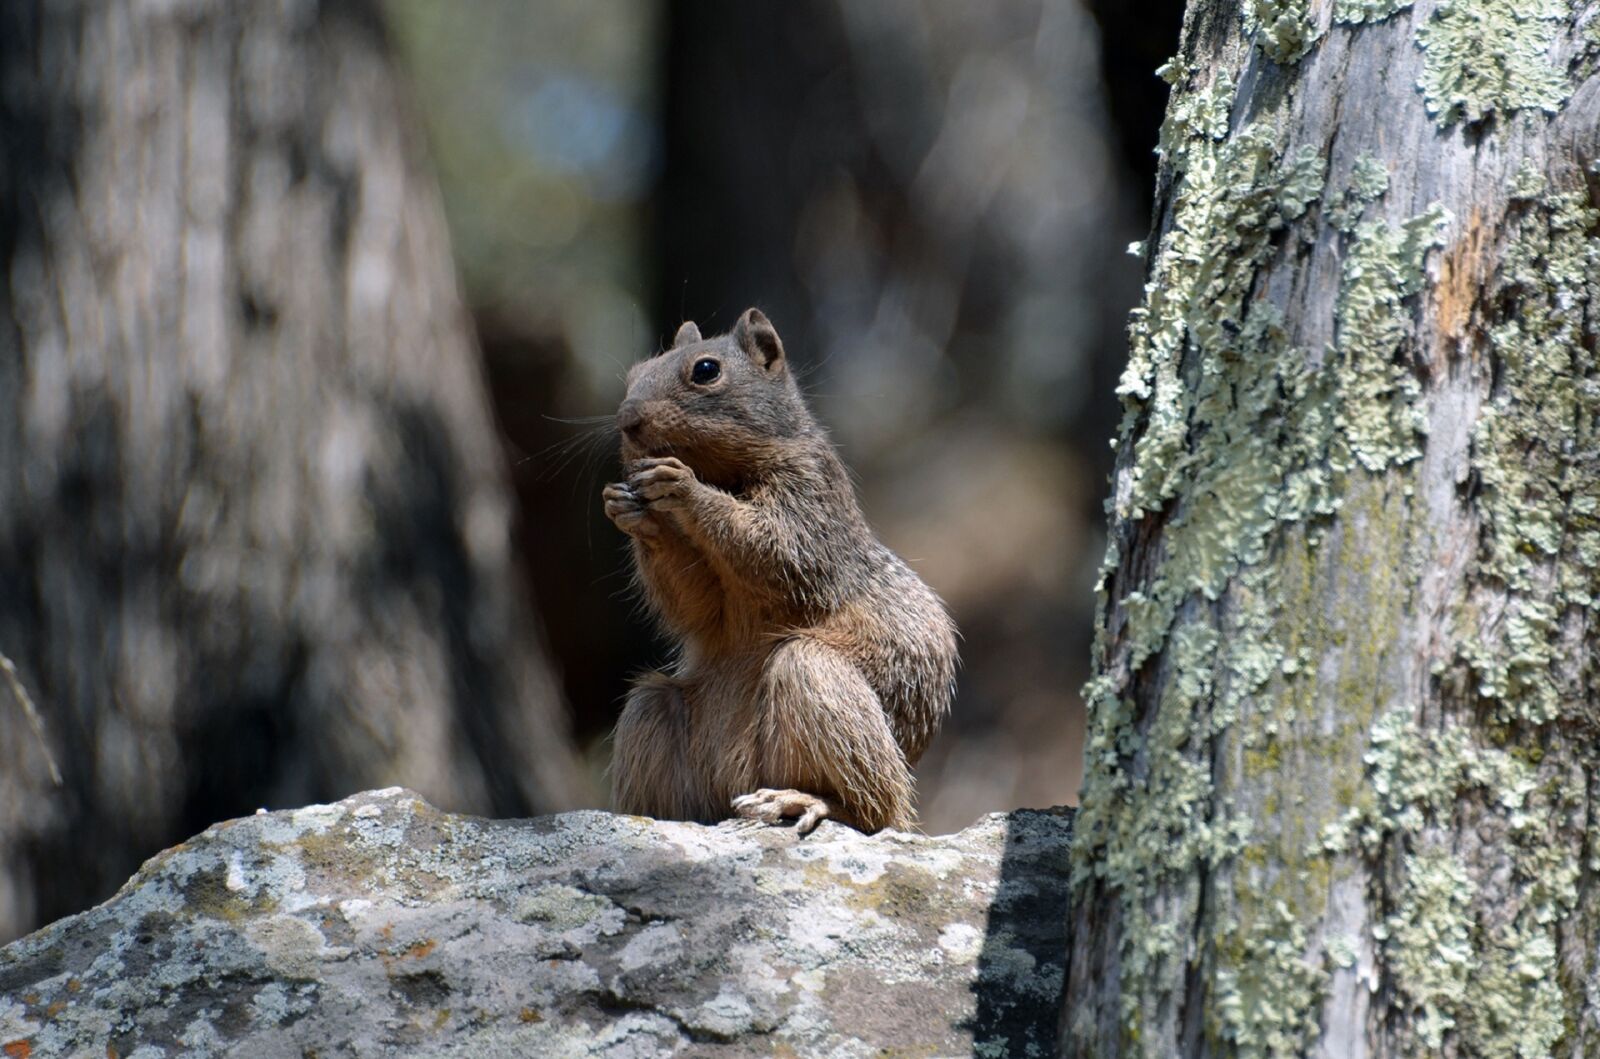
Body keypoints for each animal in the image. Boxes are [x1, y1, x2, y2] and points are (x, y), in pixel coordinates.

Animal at [602, 308, 958, 834]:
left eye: (705, 370)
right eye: (634, 372)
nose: (627, 420)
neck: (728, 475)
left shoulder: (811, 499)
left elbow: (776, 550)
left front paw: (683, 486)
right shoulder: (708, 595)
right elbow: (695, 602)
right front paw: (629, 511)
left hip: (813, 676)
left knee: (875, 810)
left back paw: (799, 800)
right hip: (650, 714)